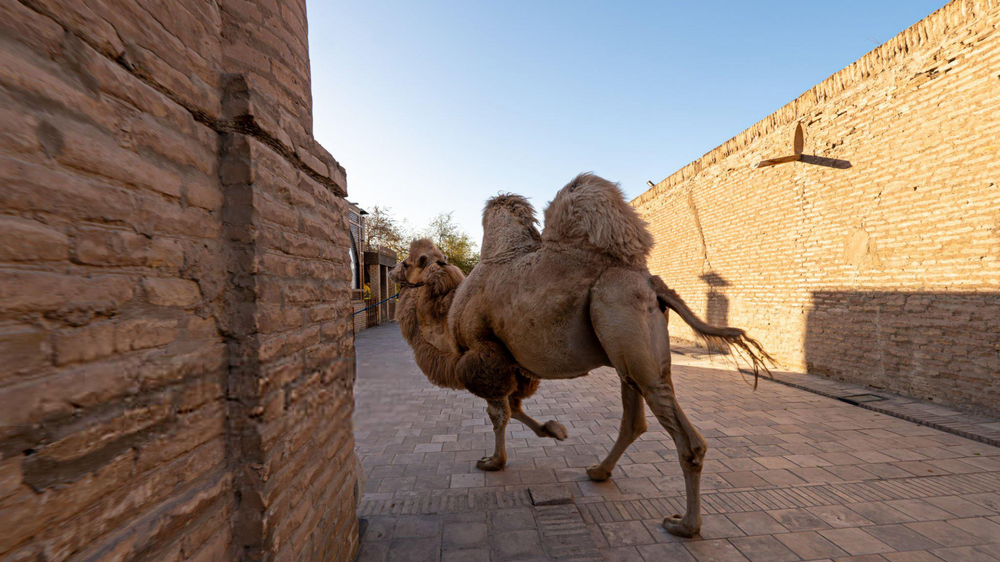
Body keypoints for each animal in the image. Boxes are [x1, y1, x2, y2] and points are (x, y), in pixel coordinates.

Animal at [391, 174, 771, 538]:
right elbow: (515, 407)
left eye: (406, 263)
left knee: (684, 437)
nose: (394, 272)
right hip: (628, 352)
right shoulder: (514, 362)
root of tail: (653, 284)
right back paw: (599, 471)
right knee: (635, 417)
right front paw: (554, 430)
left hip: (622, 318)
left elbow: (498, 414)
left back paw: (684, 525)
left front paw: (494, 461)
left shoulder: (484, 352)